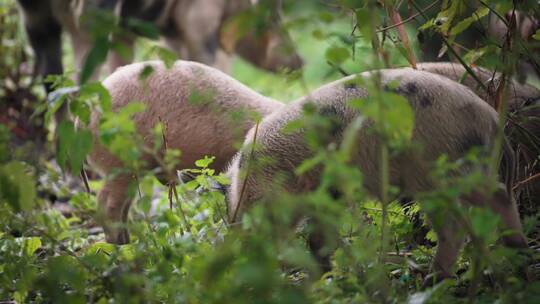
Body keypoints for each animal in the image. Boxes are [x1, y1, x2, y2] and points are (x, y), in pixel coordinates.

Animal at [225, 68, 528, 282]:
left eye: (257, 205)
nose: (243, 248)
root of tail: (491, 119)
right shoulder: (327, 194)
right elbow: (320, 237)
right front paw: (322, 275)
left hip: (440, 170)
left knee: (467, 218)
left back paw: (435, 278)